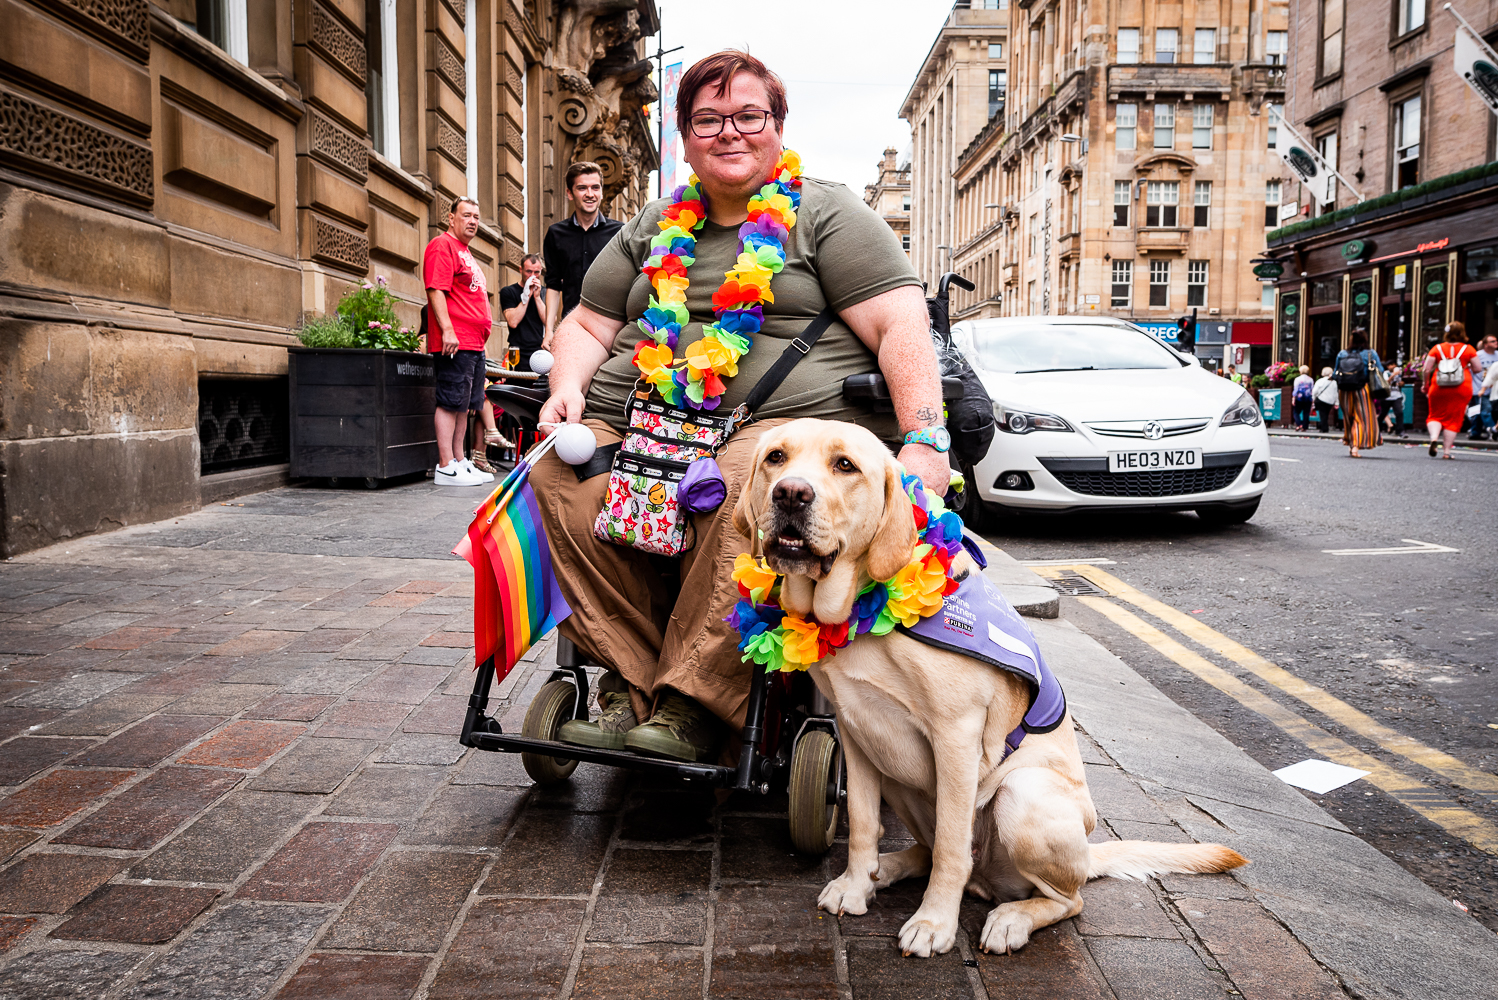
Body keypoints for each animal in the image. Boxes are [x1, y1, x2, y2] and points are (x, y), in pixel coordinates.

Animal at [731, 419, 1246, 958]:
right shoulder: (855, 732)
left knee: (1065, 898)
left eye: (844, 465)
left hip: (1023, 795)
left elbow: (951, 849)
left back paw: (1011, 918)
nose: (790, 493)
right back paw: (885, 870)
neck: (860, 609)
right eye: (776, 457)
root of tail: (1088, 855)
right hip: (898, 776)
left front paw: (934, 923)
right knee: (928, 850)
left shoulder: (956, 737)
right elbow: (865, 826)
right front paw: (856, 885)